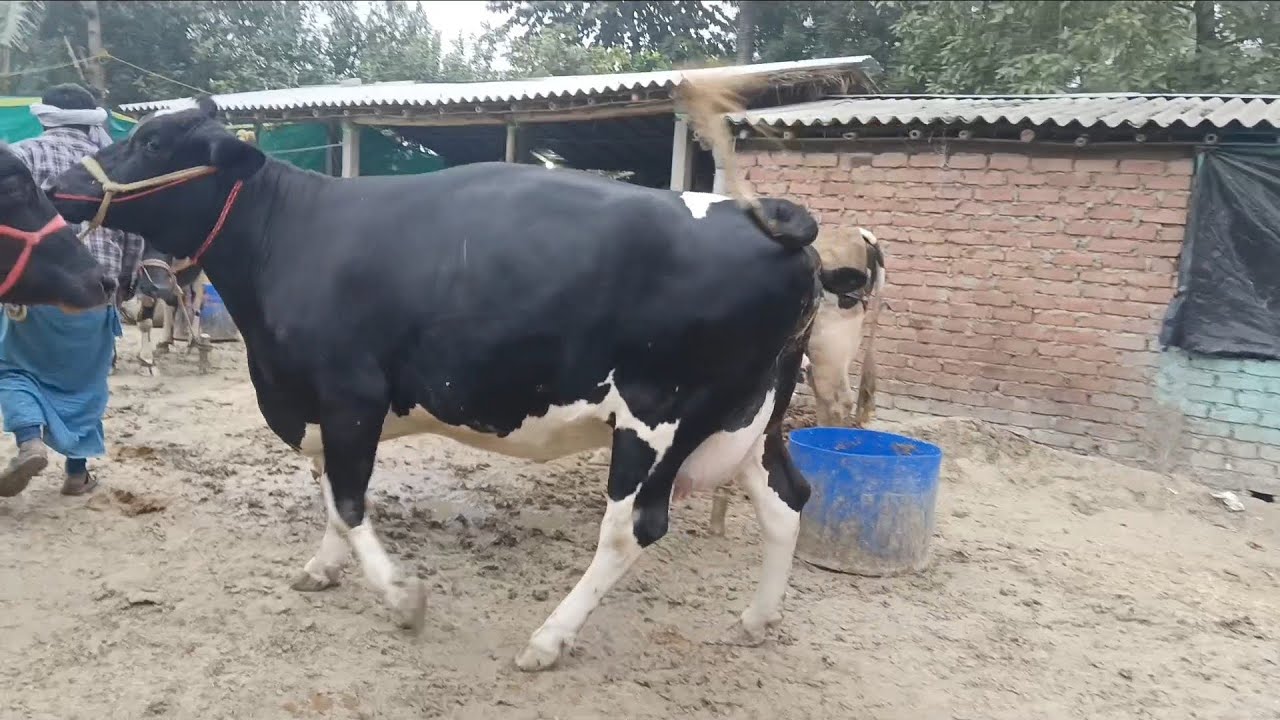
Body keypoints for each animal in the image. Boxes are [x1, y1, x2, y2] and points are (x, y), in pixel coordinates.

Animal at [50, 81, 834, 672]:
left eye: (154, 143)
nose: (58, 184)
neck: (289, 234)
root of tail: (766, 217)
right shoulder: (316, 402)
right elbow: (330, 492)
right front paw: (322, 569)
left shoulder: (350, 393)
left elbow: (350, 500)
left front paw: (402, 600)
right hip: (750, 416)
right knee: (787, 499)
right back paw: (756, 618)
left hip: (659, 417)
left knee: (631, 530)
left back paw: (548, 639)